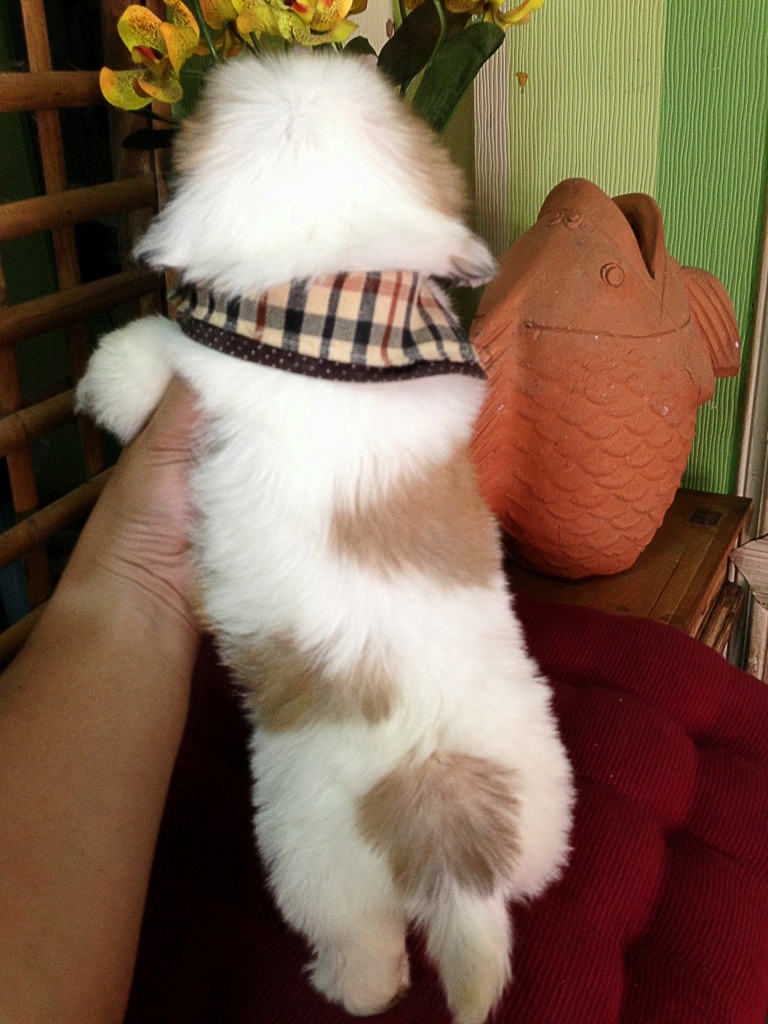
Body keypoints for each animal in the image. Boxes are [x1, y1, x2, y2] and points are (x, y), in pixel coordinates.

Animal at [77, 51, 573, 1024]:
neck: (340, 302)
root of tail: (443, 818)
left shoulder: (194, 373)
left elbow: (147, 357)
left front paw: (104, 372)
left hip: (313, 864)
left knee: (367, 954)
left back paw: (343, 983)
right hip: (541, 813)